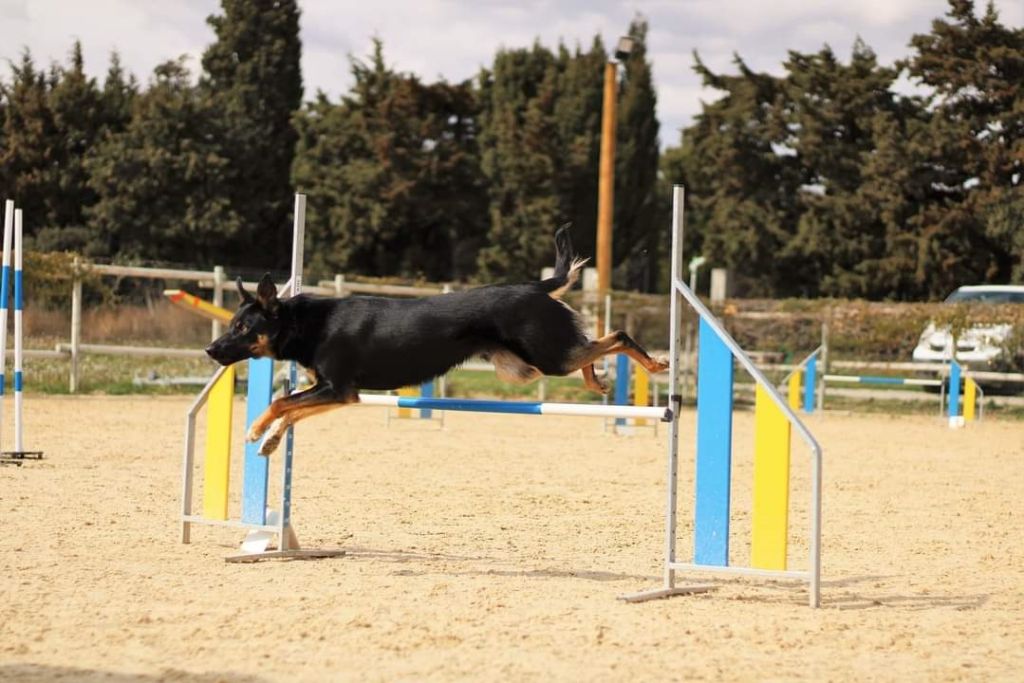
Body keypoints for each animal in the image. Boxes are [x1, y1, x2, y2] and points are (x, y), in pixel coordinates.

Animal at [207, 227, 671, 456]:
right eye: (232, 323)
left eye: (242, 328)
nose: (210, 351)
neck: (306, 323)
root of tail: (535, 286)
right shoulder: (339, 394)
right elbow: (292, 411)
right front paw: (270, 440)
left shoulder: (338, 389)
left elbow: (280, 403)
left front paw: (254, 430)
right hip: (528, 366)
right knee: (591, 348)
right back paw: (597, 382)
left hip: (546, 357)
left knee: (616, 336)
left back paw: (655, 365)